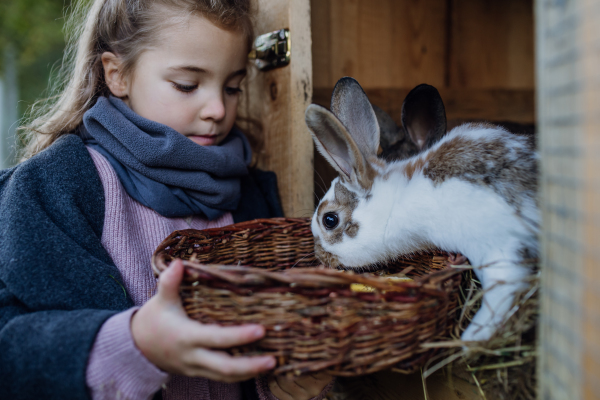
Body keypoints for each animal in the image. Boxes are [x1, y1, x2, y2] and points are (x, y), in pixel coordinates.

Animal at [304, 76, 540, 342]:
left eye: (329, 220)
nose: (319, 256)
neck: (397, 202)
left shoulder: (499, 251)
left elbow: (501, 295)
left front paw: (468, 340)